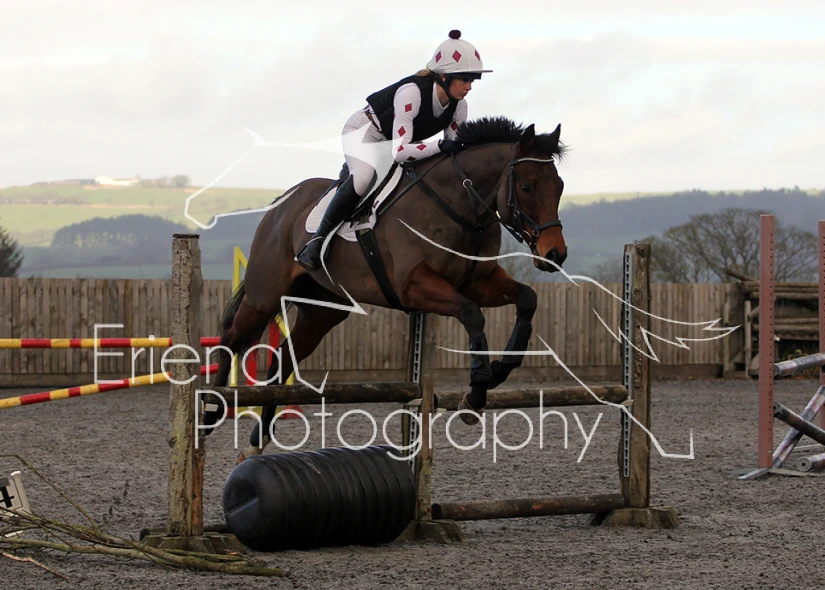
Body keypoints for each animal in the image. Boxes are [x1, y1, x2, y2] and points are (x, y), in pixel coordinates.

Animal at [211, 116, 568, 460]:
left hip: (323, 312)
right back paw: (211, 410)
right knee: (230, 338)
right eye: (526, 186)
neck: (461, 206)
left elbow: (527, 299)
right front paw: (477, 392)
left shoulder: (477, 283)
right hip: (264, 296)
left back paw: (256, 442)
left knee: (283, 358)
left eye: (560, 187)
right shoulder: (415, 286)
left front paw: (501, 369)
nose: (555, 254)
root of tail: (280, 204)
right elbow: (472, 314)